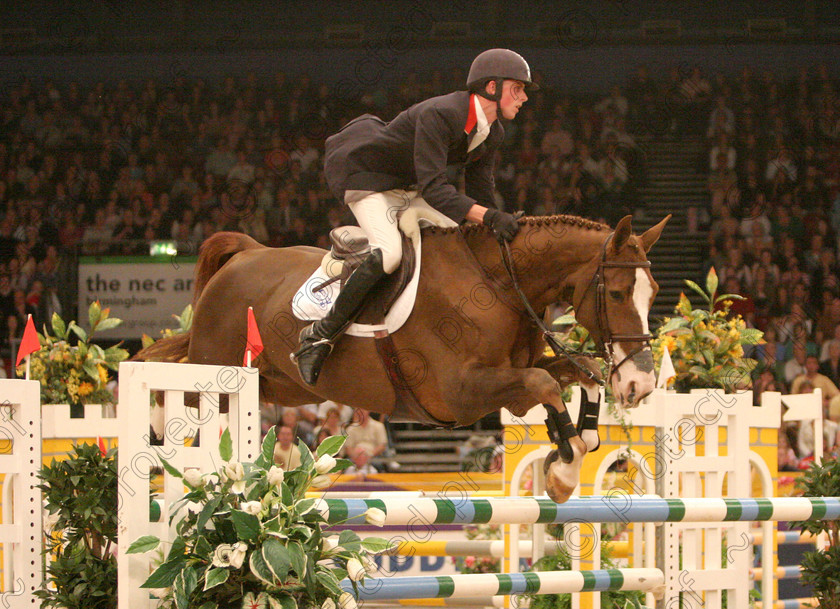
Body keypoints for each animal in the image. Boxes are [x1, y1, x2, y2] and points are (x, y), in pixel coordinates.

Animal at [139, 213, 668, 498]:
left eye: (654, 292)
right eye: (617, 293)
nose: (639, 385)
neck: (500, 283)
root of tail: (244, 254)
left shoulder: (510, 381)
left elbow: (585, 373)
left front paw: (576, 447)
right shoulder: (462, 393)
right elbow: (545, 385)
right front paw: (563, 470)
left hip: (278, 385)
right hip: (219, 372)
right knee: (174, 390)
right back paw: (157, 440)